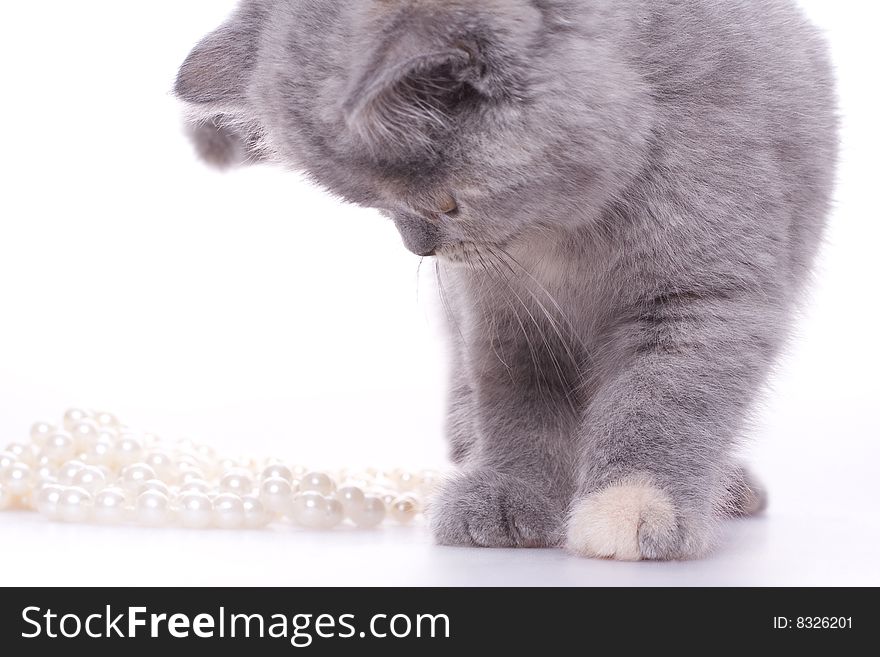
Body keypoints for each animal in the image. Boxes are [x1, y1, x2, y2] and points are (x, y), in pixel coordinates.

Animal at [174, 0, 840, 560]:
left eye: (444, 203)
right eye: (380, 207)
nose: (418, 245)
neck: (568, 234)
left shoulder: (703, 295)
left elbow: (663, 402)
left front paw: (630, 505)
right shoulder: (502, 314)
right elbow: (519, 403)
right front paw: (507, 494)